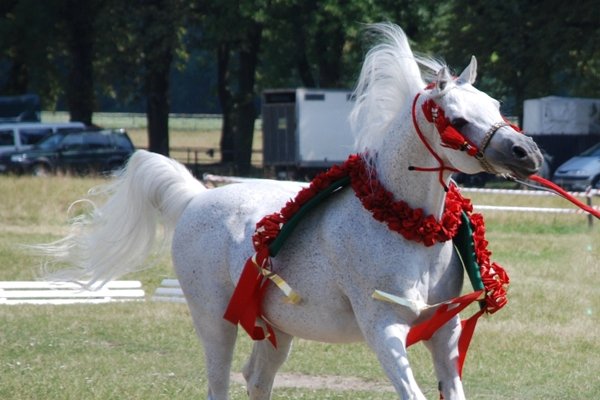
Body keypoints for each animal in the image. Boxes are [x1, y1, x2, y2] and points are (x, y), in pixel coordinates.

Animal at [38, 23, 544, 398]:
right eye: (455, 118)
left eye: (495, 104)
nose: (528, 153)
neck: (405, 225)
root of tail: (197, 198)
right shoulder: (385, 330)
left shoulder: (445, 333)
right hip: (213, 320)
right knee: (220, 383)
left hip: (274, 329)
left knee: (257, 380)